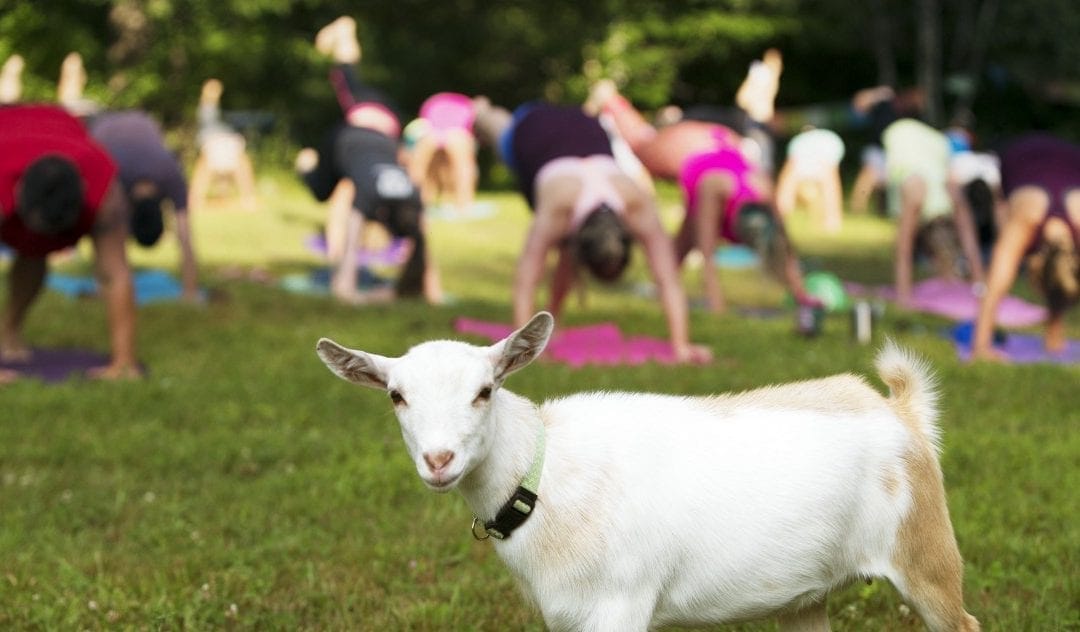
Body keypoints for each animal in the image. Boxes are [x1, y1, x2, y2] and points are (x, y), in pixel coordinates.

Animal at [316, 311, 980, 631]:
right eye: (396, 396)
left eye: (485, 391)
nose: (439, 461)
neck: (544, 472)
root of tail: (903, 411)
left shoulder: (621, 604)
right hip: (804, 594)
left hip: (924, 550)